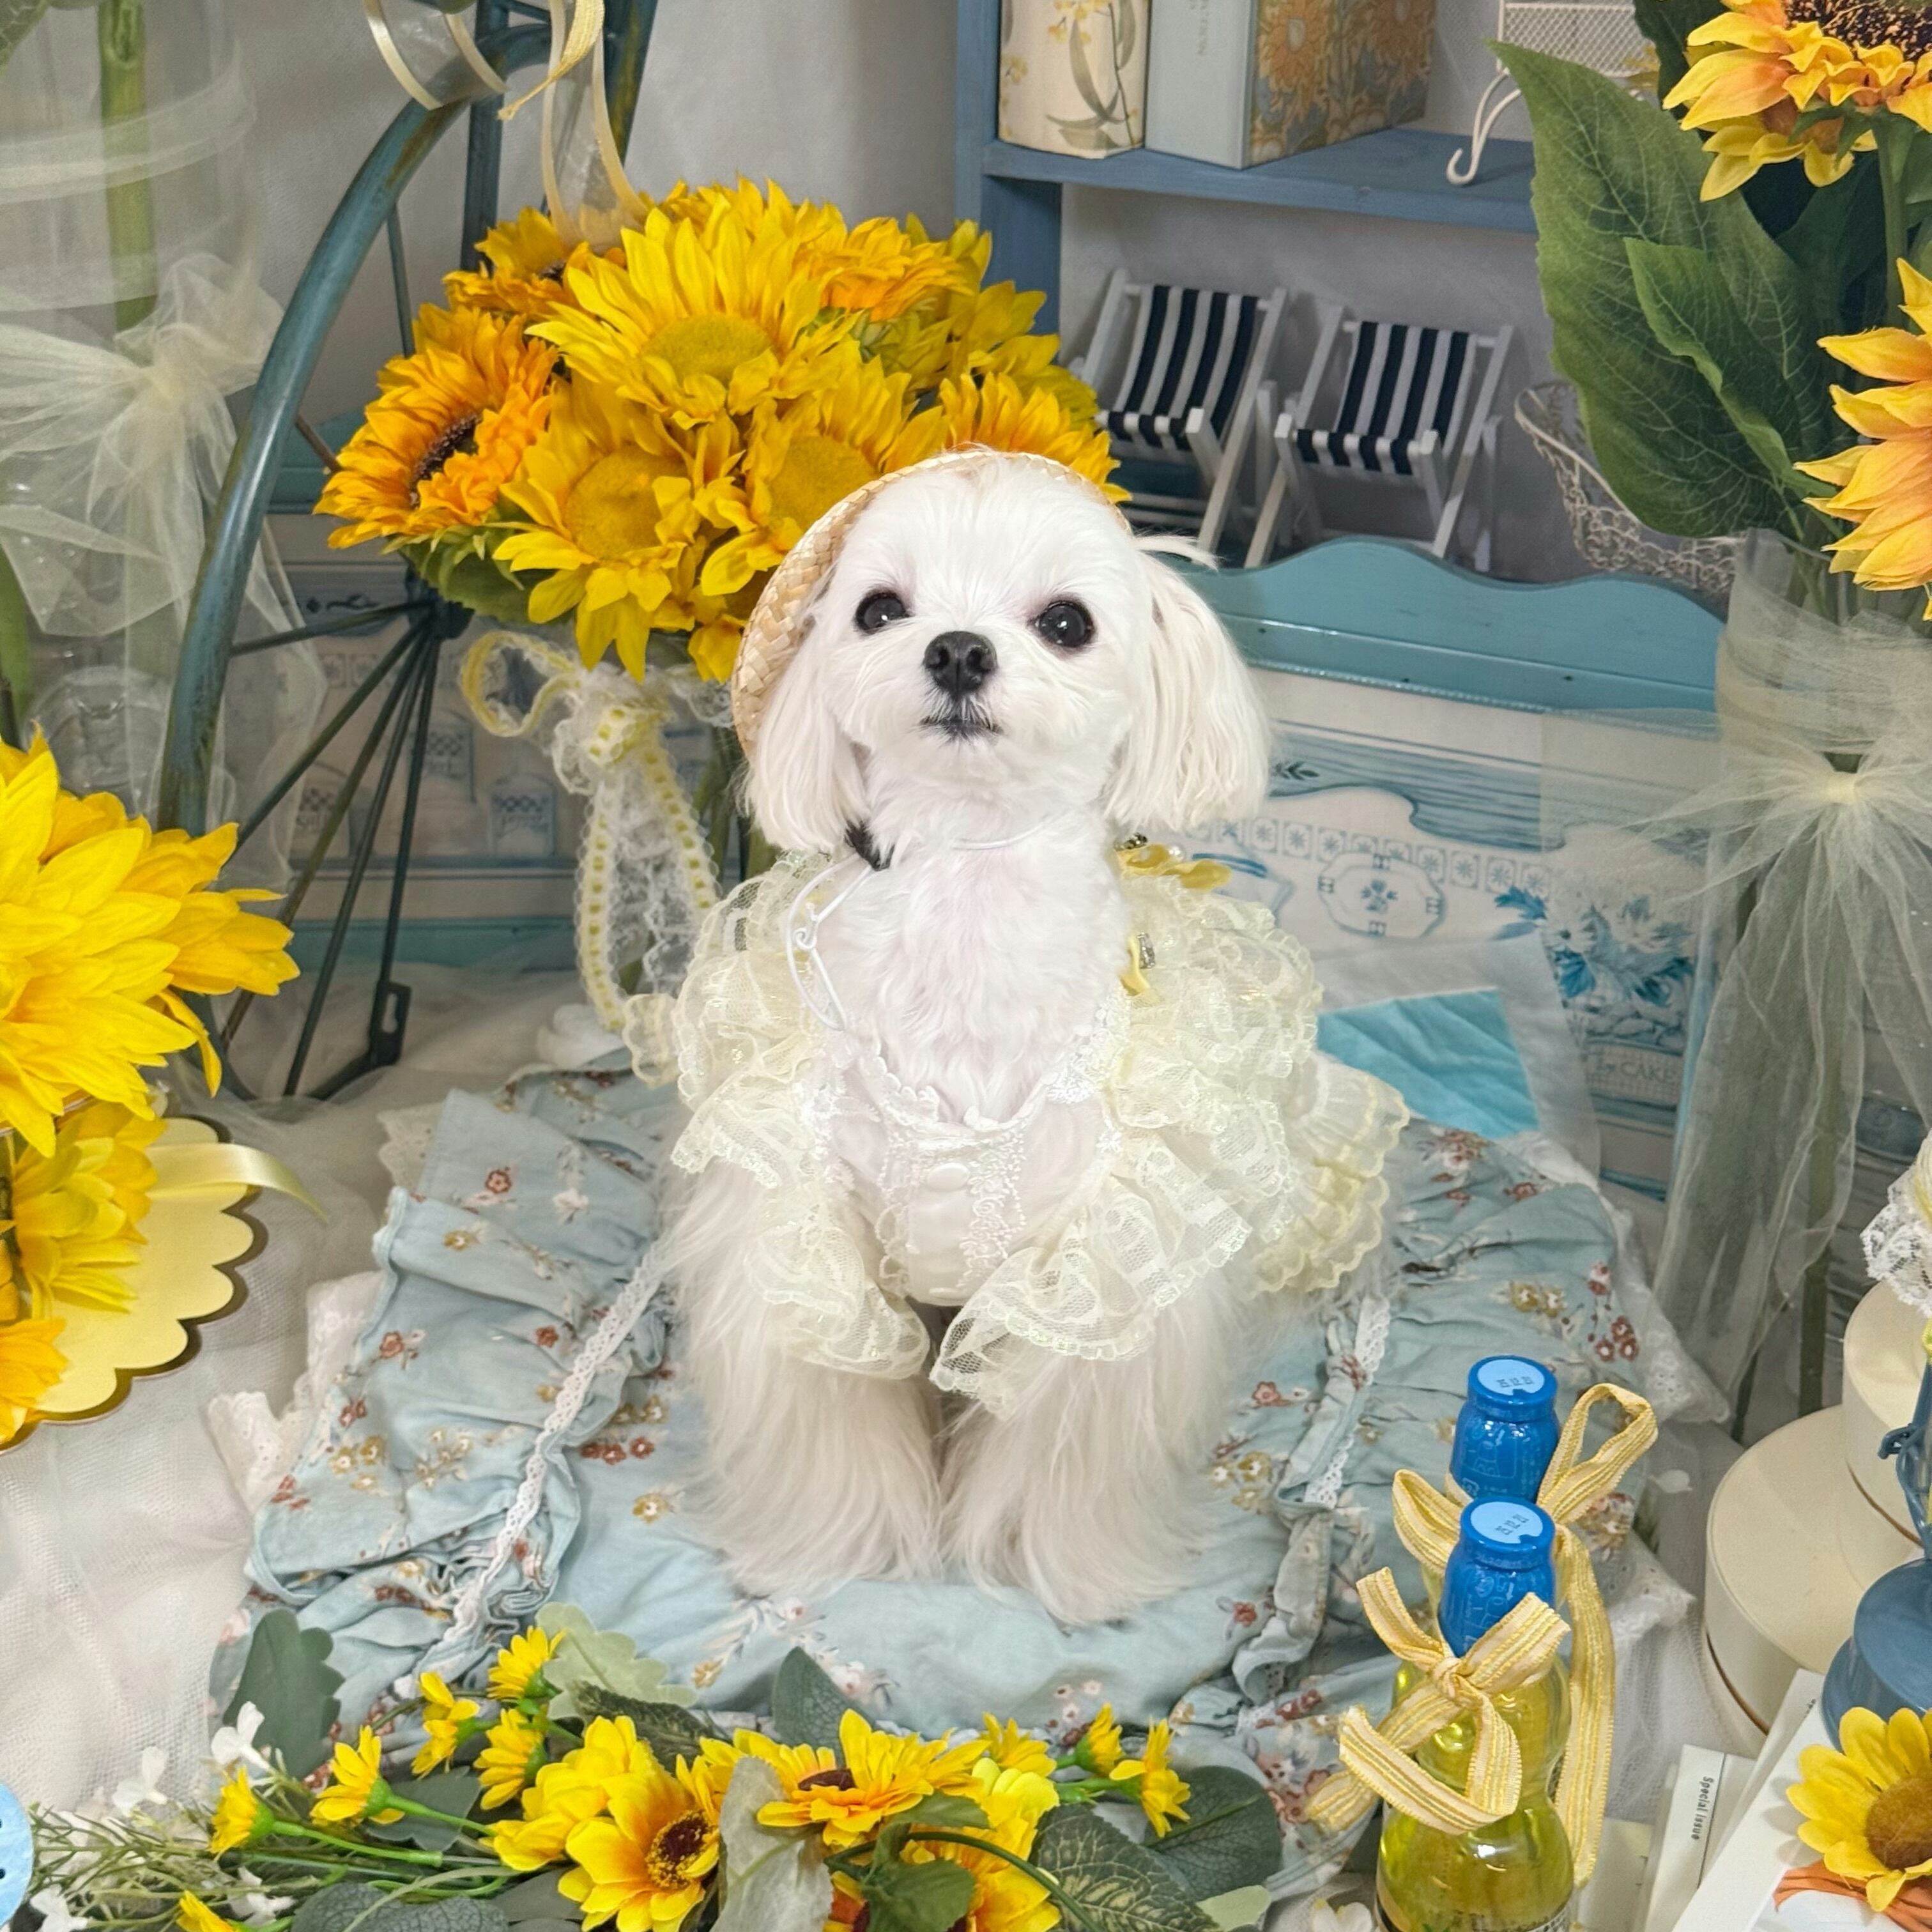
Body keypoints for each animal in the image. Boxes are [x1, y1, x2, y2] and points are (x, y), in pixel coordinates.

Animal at [659, 448, 1399, 1626]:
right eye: (879, 609)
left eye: (1064, 623)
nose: (958, 648)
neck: (974, 888)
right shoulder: (807, 1242)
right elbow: (834, 1424)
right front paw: (833, 1550)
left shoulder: (1104, 1272)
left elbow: (1060, 1451)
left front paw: (1058, 1571)